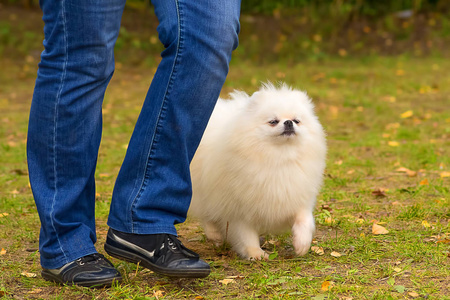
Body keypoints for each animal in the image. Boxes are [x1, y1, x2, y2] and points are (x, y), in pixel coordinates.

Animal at [190, 82, 326, 260]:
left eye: (297, 120)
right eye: (273, 121)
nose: (289, 122)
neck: (279, 158)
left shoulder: (294, 194)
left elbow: (305, 220)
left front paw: (301, 244)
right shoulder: (239, 208)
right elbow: (245, 234)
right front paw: (255, 253)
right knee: (206, 213)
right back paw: (215, 235)